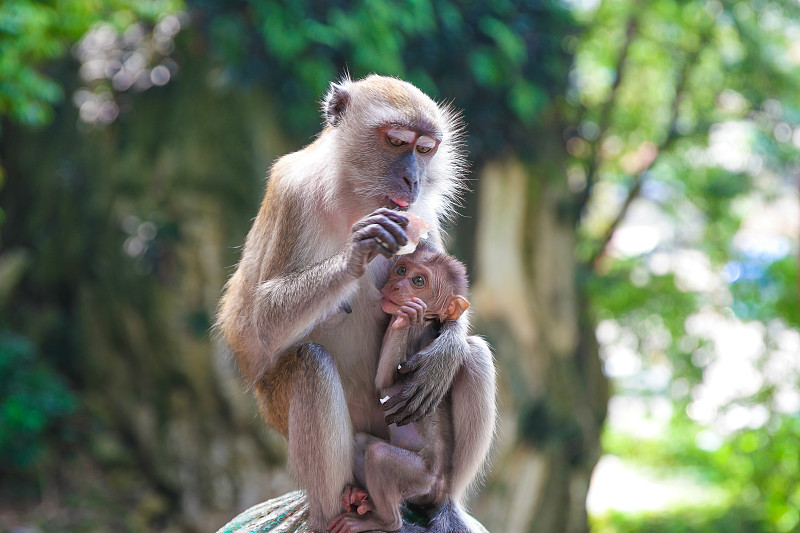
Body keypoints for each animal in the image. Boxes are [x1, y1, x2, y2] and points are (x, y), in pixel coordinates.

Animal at [330, 247, 484, 532]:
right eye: (401, 270)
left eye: (418, 281)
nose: (395, 285)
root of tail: (441, 485)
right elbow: (383, 379)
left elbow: (386, 383)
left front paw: (408, 317)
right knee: (361, 443)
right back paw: (362, 499)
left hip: (422, 478)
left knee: (379, 456)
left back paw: (385, 520)